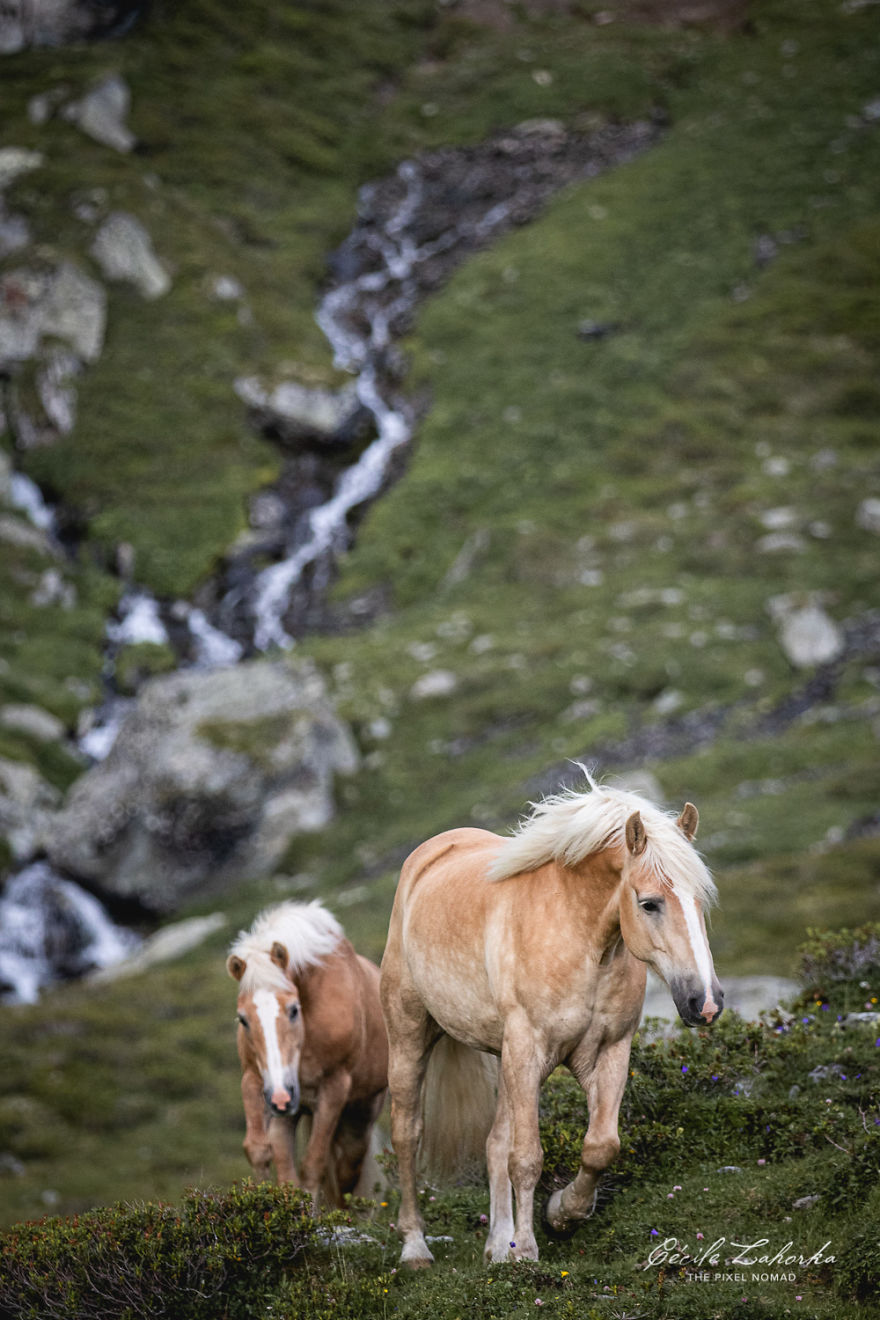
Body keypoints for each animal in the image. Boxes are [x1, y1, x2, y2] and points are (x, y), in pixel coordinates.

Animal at [227, 900, 388, 1205]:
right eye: (242, 1019)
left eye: (293, 1010)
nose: (280, 1097)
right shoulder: (253, 1079)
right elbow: (257, 1150)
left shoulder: (334, 1088)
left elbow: (313, 1166)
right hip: (291, 1113)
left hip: (358, 1117)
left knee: (344, 1172)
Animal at [380, 774, 724, 1267]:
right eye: (649, 903)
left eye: (700, 900)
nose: (706, 1003)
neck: (579, 940)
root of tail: (430, 853)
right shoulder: (529, 1049)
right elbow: (527, 1158)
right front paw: (526, 1248)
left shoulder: (608, 1051)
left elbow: (600, 1147)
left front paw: (561, 1214)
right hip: (411, 1038)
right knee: (408, 1136)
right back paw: (415, 1247)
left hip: (505, 1059)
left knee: (494, 1142)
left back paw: (497, 1244)